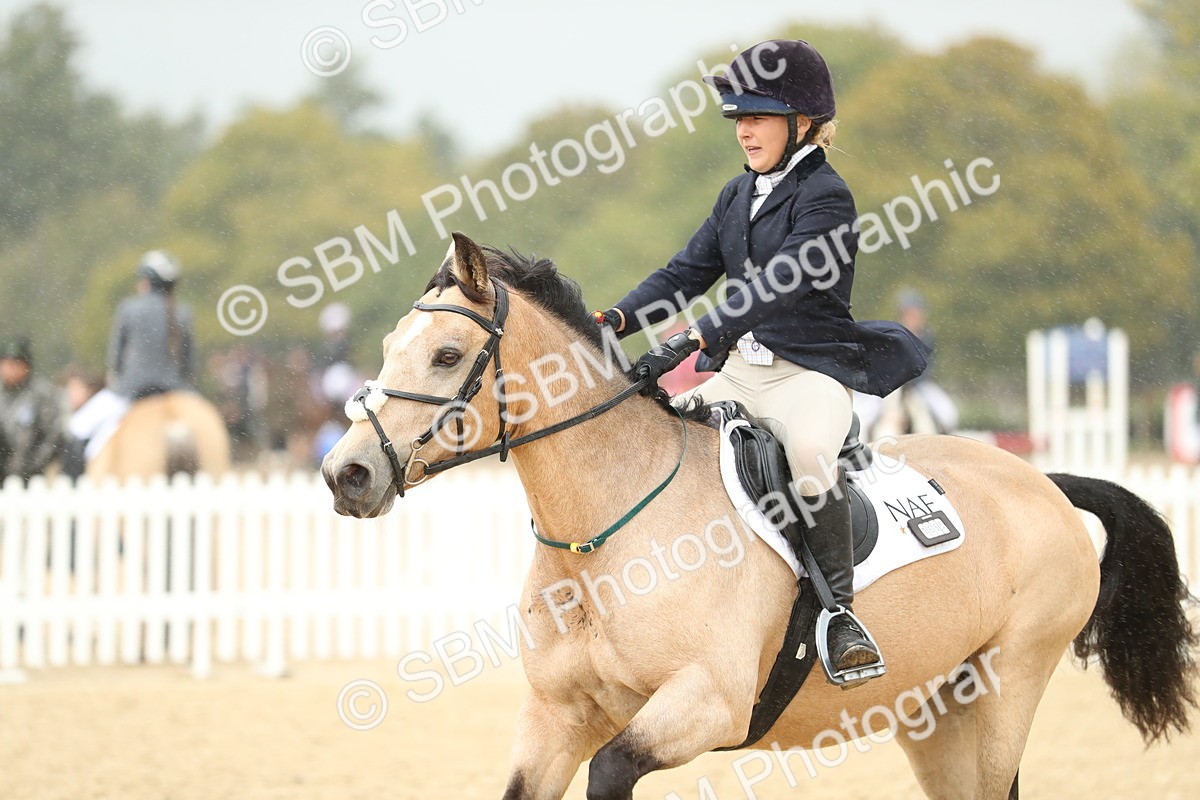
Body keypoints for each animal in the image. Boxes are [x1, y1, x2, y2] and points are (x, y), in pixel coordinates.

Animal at [322, 233, 1197, 800]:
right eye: (392, 344)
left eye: (445, 357)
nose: (346, 474)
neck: (599, 536)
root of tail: (1038, 480)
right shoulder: (555, 719)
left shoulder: (704, 703)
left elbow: (612, 771)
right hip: (936, 710)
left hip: (1007, 684)